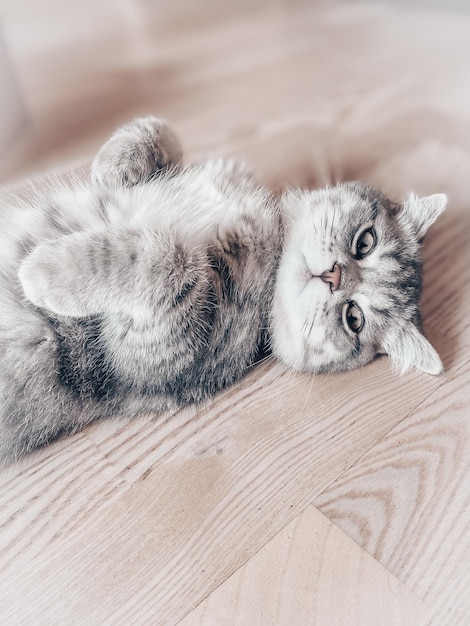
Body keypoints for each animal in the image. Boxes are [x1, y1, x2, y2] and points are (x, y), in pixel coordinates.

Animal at [0, 116, 446, 464]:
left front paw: (43, 270)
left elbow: (168, 259)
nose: (334, 277)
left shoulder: (151, 349)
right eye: (365, 242)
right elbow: (161, 129)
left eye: (353, 318)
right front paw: (114, 169)